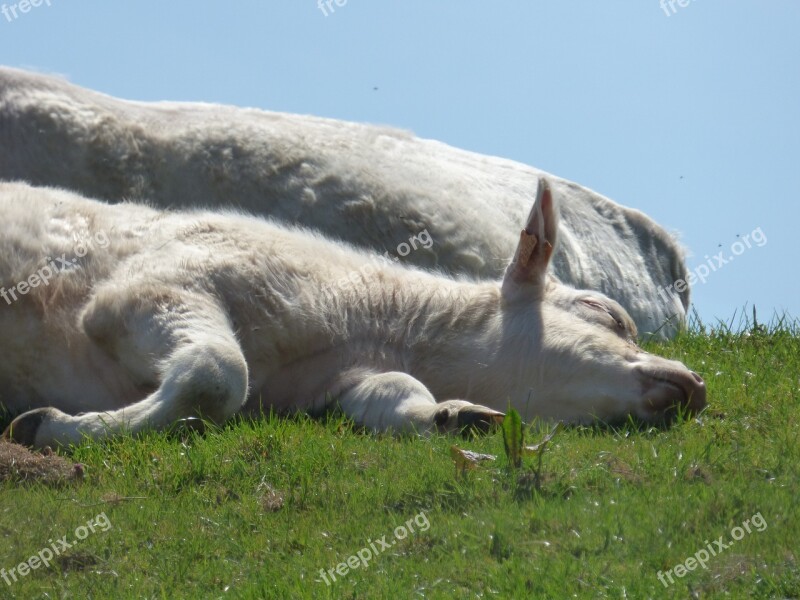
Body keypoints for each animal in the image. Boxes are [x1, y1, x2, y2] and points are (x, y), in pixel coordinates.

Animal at [0, 180, 704, 448]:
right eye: (605, 314)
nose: (695, 383)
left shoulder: (335, 384)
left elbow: (394, 395)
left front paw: (453, 414)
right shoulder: (144, 291)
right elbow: (215, 372)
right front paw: (52, 426)